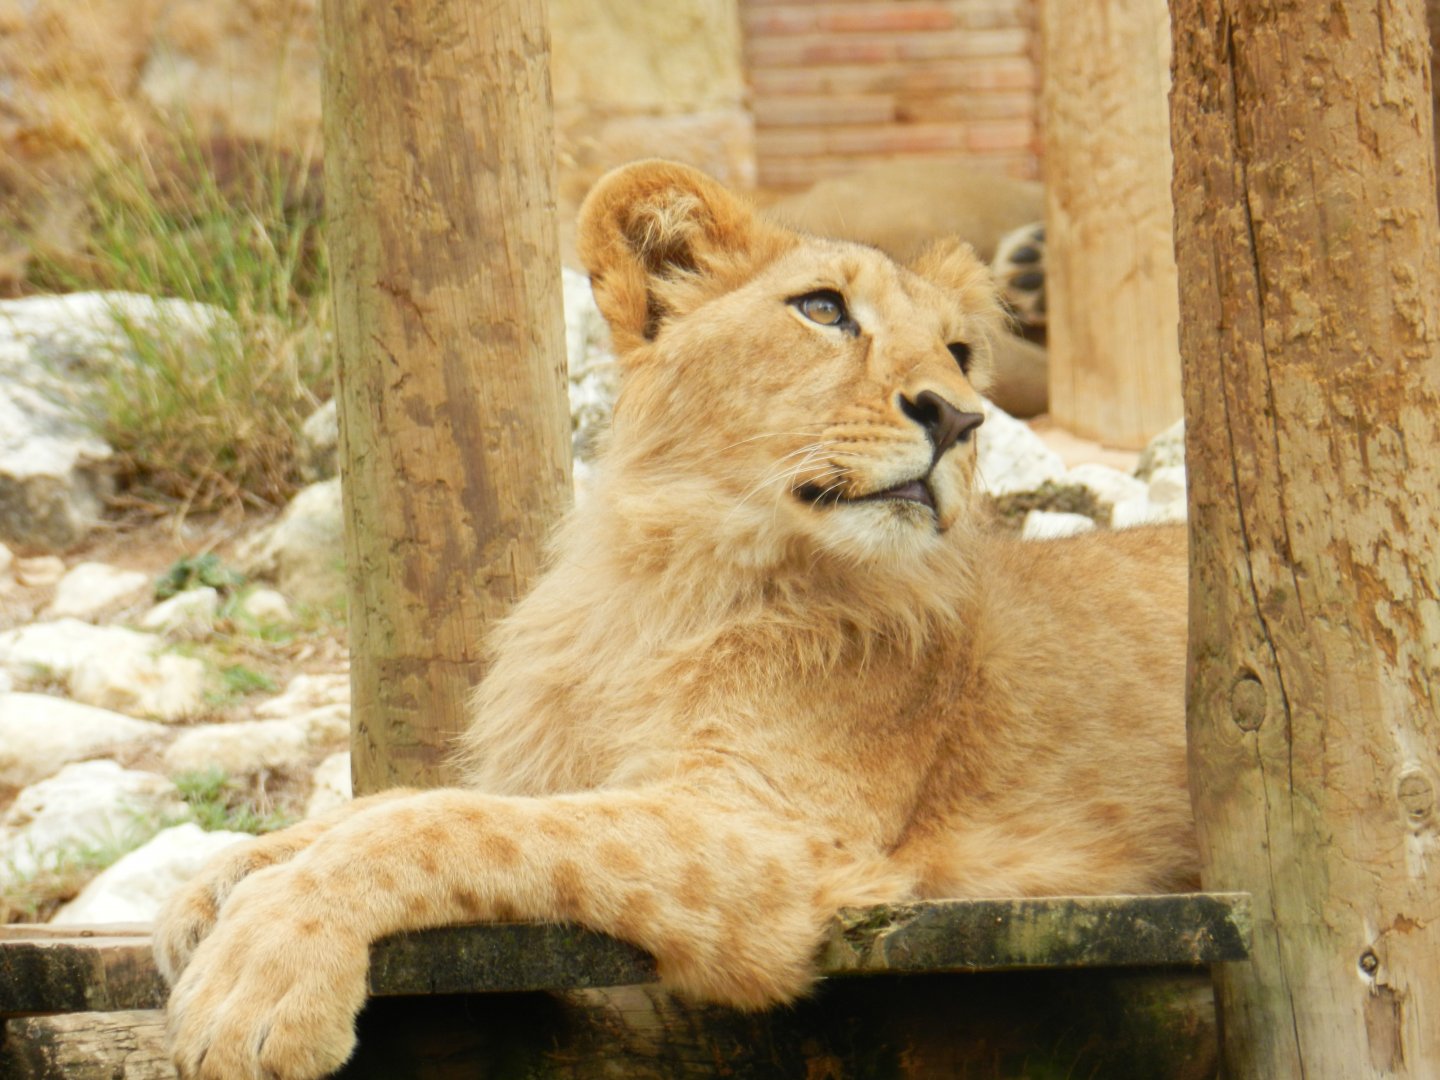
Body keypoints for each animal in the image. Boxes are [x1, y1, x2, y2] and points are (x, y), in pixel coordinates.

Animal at [153, 160, 1196, 1080]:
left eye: (962, 353)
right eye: (823, 310)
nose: (959, 417)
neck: (670, 582)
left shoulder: (780, 844)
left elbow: (446, 823)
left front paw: (262, 977)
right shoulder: (567, 768)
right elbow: (396, 802)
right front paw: (216, 880)